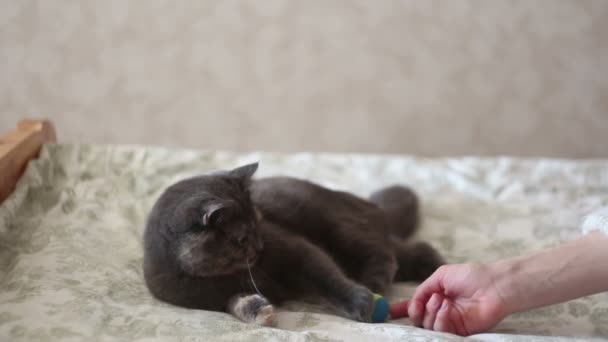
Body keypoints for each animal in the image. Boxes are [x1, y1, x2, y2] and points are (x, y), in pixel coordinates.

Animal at [145, 164, 444, 324]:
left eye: (259, 221)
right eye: (240, 238)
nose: (260, 247)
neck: (219, 277)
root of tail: (369, 204)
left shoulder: (294, 247)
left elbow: (324, 273)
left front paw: (358, 300)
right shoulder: (212, 300)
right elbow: (233, 303)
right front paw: (257, 310)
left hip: (339, 225)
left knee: (386, 252)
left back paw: (377, 280)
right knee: (410, 252)